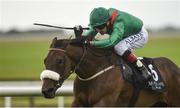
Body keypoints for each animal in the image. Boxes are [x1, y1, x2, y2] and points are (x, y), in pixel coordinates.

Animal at [40, 37, 180, 106]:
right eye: (45, 60)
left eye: (59, 61)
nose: (46, 90)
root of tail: (175, 67)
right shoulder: (78, 102)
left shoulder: (104, 101)